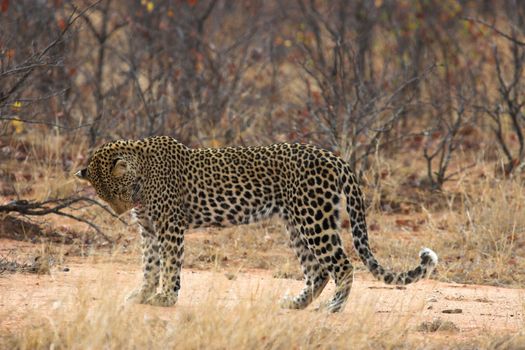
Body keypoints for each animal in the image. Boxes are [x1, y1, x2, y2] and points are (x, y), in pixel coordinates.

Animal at [75, 135, 436, 314]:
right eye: (102, 194)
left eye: (114, 191)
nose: (120, 211)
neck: (142, 171)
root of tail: (333, 156)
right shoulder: (149, 230)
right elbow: (150, 266)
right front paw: (143, 294)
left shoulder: (169, 228)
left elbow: (169, 265)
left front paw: (165, 297)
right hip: (296, 223)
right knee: (318, 270)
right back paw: (296, 304)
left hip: (313, 220)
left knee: (343, 265)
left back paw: (332, 308)